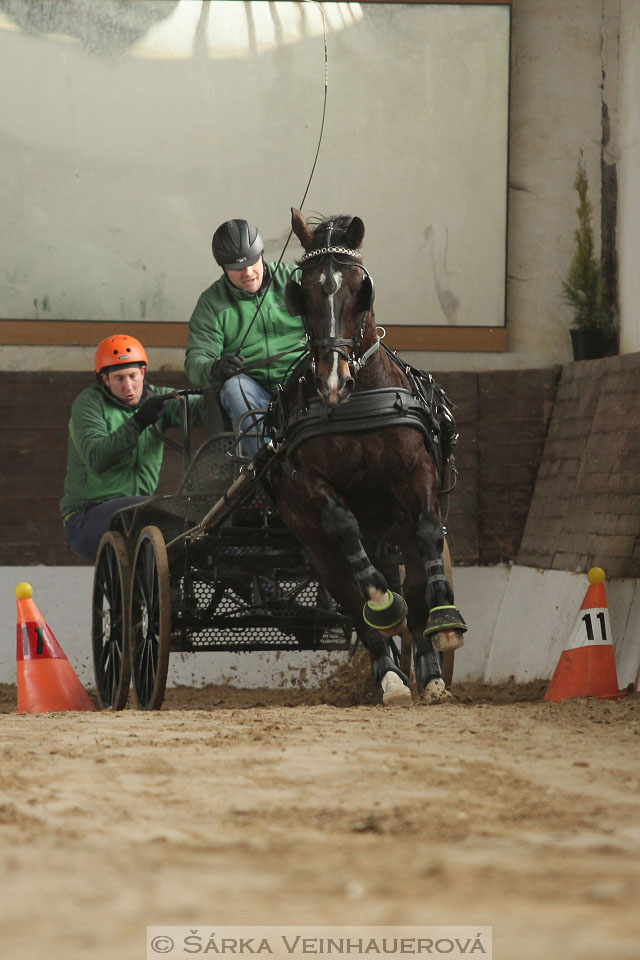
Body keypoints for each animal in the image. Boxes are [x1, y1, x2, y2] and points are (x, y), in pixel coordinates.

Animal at [264, 210, 464, 704]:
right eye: (303, 291)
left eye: (360, 287)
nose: (332, 380)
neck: (358, 402)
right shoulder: (312, 485)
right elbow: (346, 530)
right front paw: (382, 604)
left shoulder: (418, 475)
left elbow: (428, 535)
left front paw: (446, 621)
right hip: (318, 549)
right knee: (353, 599)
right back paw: (389, 674)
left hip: (396, 532)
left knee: (415, 585)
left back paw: (429, 672)